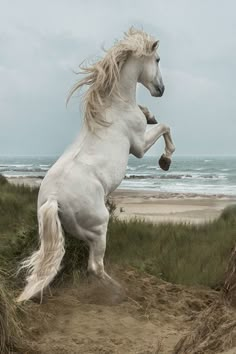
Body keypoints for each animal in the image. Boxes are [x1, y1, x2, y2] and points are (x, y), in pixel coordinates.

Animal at [17, 27, 175, 302]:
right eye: (157, 60)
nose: (161, 89)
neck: (115, 106)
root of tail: (53, 200)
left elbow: (157, 121)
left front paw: (150, 114)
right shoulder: (139, 147)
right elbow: (166, 127)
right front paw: (166, 160)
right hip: (100, 227)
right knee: (95, 267)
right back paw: (122, 293)